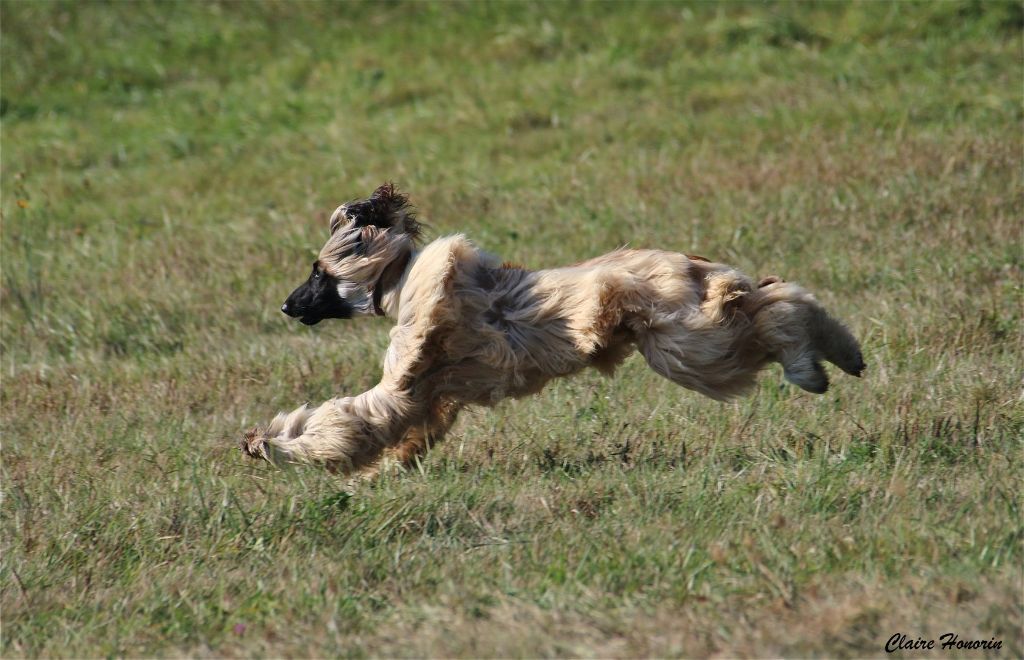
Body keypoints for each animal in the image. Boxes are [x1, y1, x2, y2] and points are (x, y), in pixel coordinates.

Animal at [239, 183, 864, 472]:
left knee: (777, 313)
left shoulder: (411, 361)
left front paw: (269, 442)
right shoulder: (432, 393)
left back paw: (813, 365)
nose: (287, 307)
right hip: (692, 328)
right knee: (777, 299)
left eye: (316, 271)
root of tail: (691, 261)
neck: (399, 278)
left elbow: (361, 411)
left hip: (685, 337)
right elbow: (399, 425)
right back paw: (841, 353)